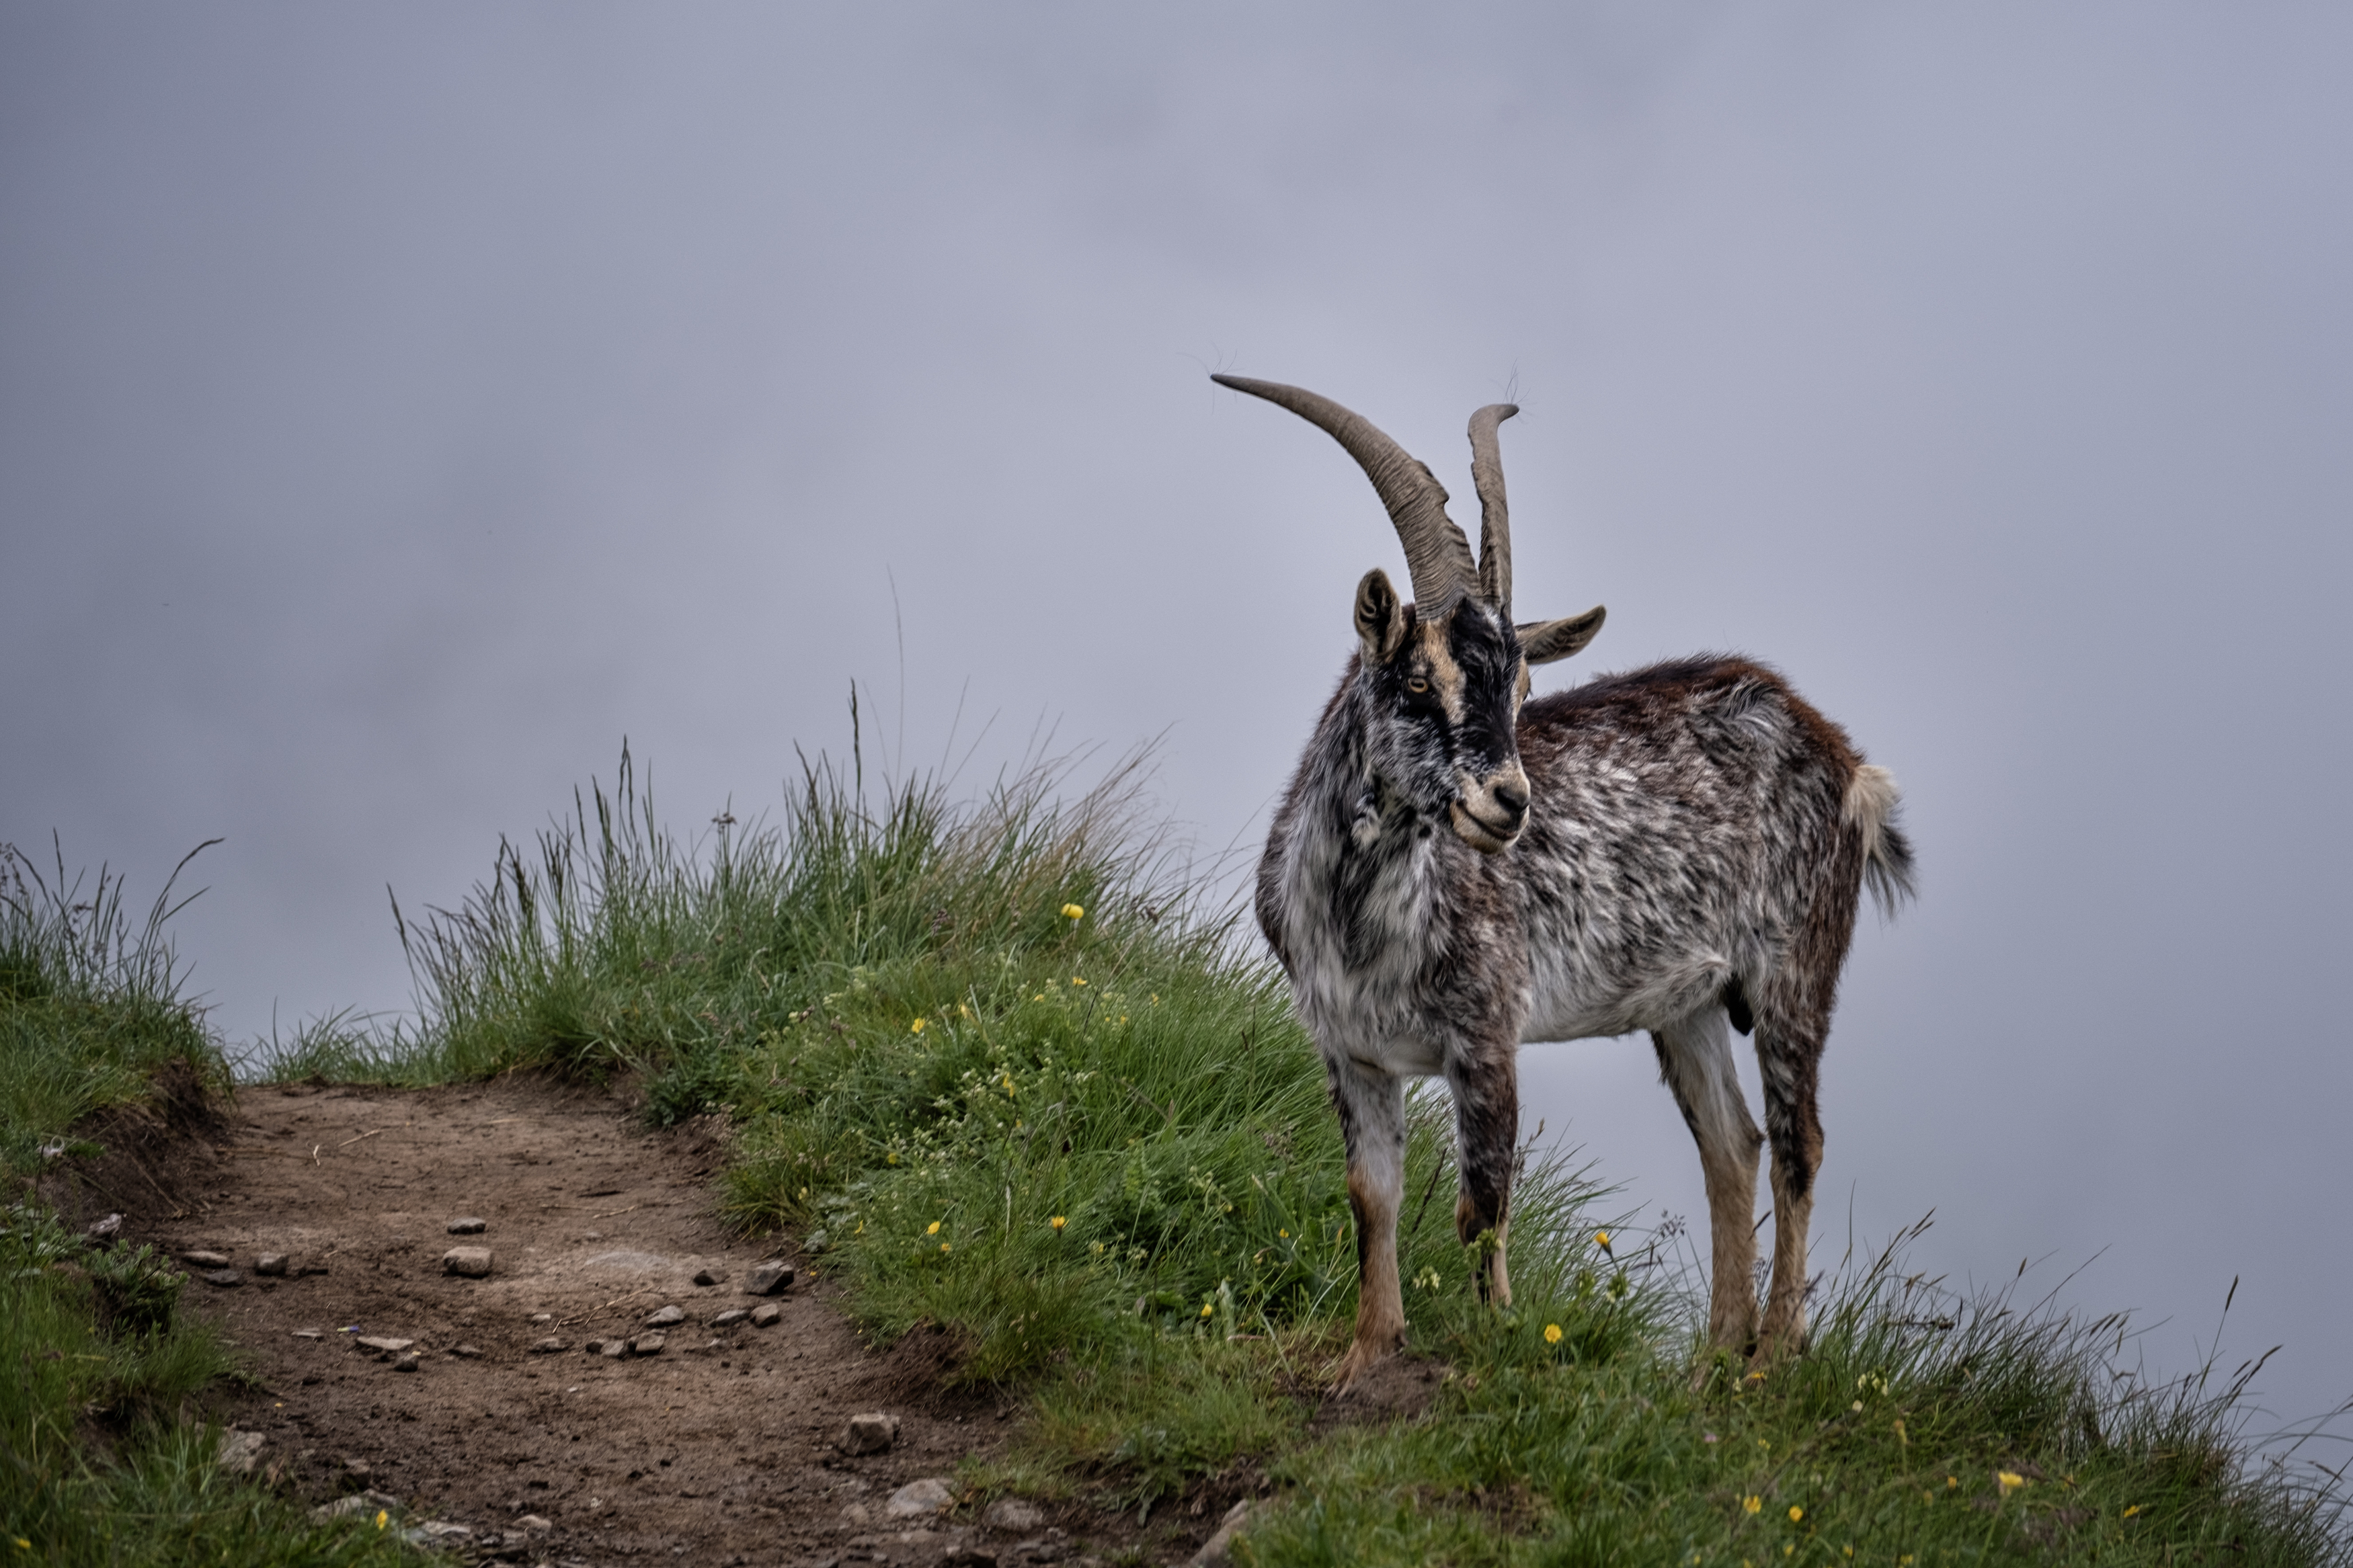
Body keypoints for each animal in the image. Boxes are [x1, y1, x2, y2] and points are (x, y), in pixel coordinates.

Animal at [1224, 376, 1920, 1382]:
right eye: (1418, 681)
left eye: (1520, 691)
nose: (1510, 801)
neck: (1361, 915)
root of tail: (1843, 758)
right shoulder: (1347, 1047)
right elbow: (1370, 1195)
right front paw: (1368, 1351)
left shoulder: (1486, 1032)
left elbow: (1481, 1206)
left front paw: (1493, 1347)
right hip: (1689, 1002)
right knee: (1732, 1144)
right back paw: (1713, 1360)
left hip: (1795, 965)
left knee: (1798, 1143)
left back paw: (1772, 1354)